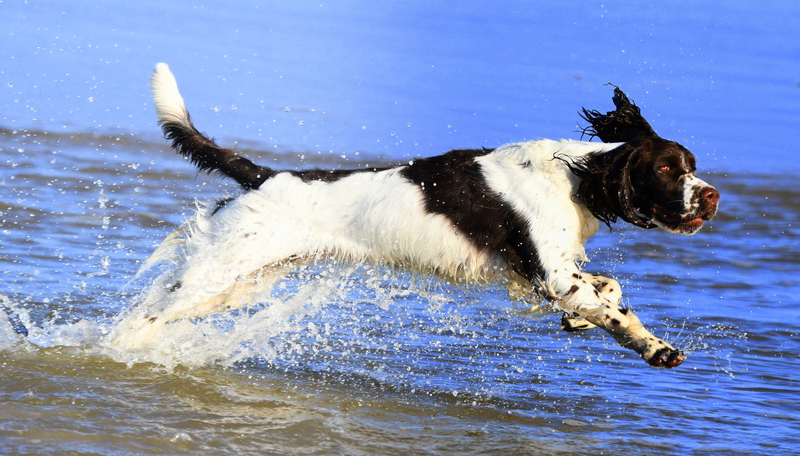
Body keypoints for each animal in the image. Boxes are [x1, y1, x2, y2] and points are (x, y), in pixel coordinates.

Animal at [109, 63, 719, 368]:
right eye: (668, 169)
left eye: (692, 165)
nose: (712, 196)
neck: (578, 176)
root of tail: (264, 176)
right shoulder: (550, 274)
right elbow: (616, 309)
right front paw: (657, 348)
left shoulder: (544, 272)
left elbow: (608, 289)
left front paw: (580, 322)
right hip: (217, 270)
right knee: (139, 318)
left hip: (240, 284)